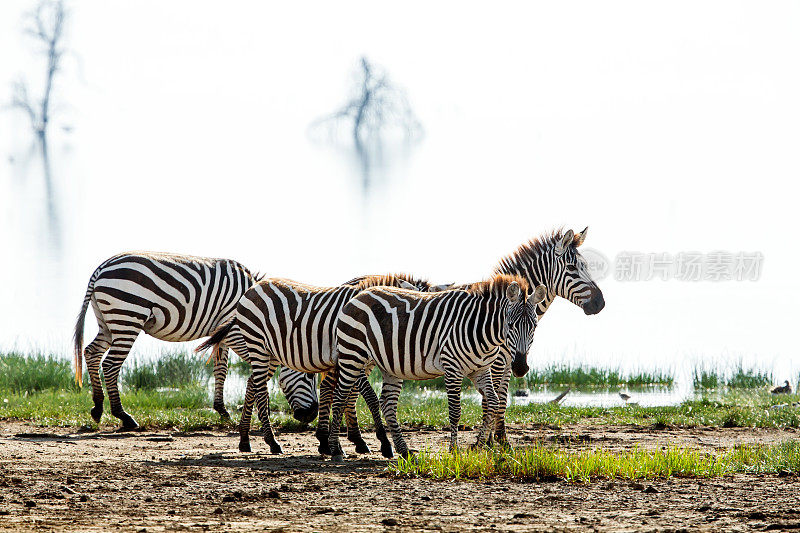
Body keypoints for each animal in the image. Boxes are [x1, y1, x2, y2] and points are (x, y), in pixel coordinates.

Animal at [71, 249, 318, 428]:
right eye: (309, 376)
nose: (311, 416)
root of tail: (101, 268)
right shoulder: (236, 330)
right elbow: (254, 368)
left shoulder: (224, 332)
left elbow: (221, 369)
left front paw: (222, 410)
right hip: (127, 317)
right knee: (111, 365)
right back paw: (123, 416)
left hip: (108, 321)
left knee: (92, 352)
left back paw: (97, 408)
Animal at [198, 272, 440, 456]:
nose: (308, 415)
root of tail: (255, 286)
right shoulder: (348, 357)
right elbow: (366, 397)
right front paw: (381, 442)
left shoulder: (354, 361)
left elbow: (340, 395)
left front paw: (337, 442)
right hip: (258, 346)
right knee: (259, 388)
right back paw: (271, 442)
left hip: (270, 353)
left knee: (252, 384)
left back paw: (245, 439)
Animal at [328, 272, 548, 460]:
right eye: (510, 325)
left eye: (535, 326)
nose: (520, 368)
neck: (482, 330)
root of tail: (359, 294)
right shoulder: (452, 367)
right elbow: (455, 411)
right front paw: (454, 450)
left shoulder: (480, 370)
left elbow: (493, 403)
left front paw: (478, 445)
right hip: (352, 355)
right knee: (339, 397)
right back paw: (335, 450)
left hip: (389, 366)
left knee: (387, 404)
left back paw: (404, 451)